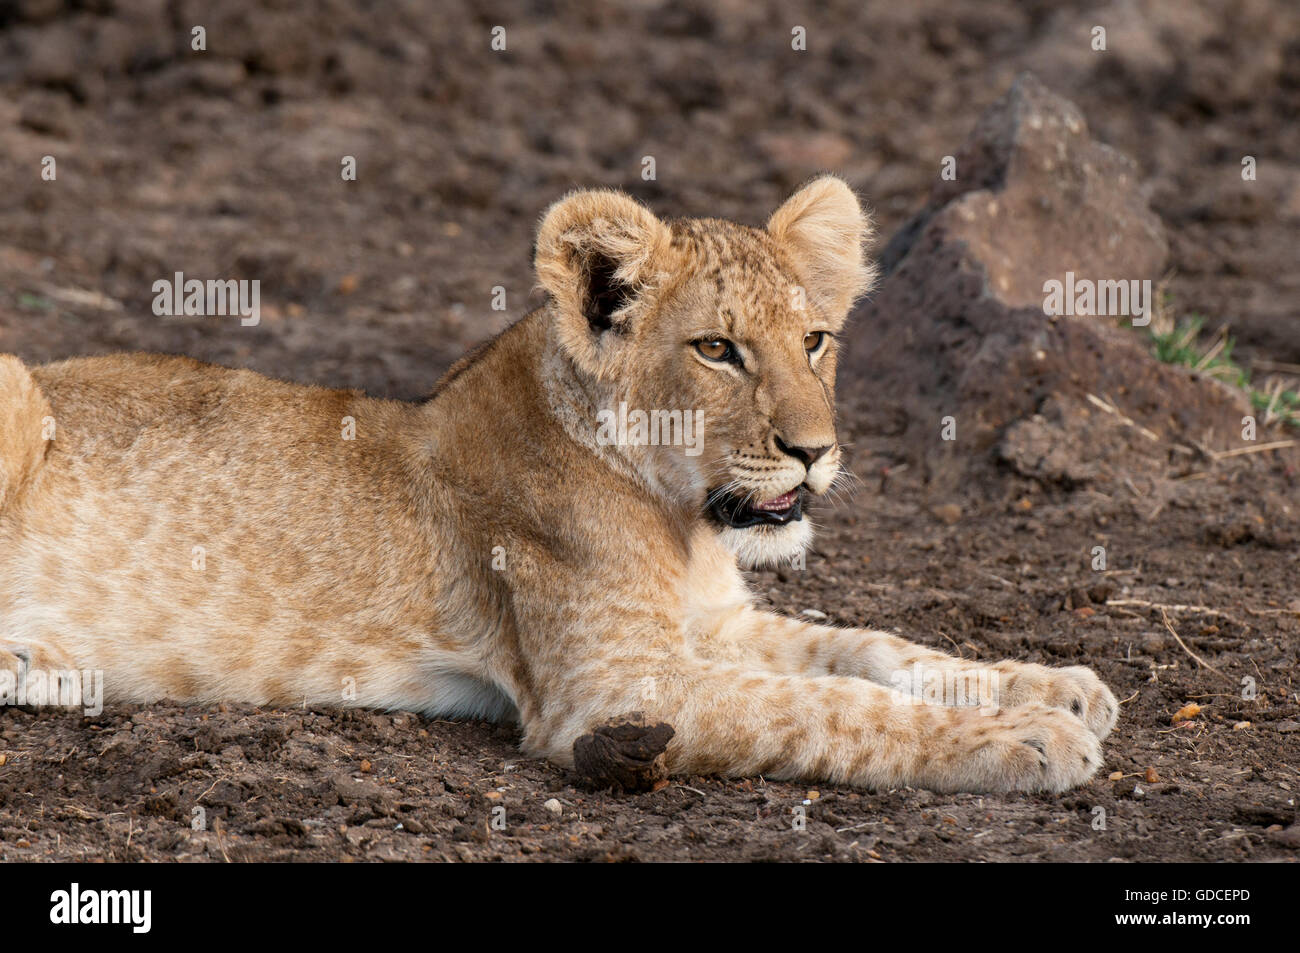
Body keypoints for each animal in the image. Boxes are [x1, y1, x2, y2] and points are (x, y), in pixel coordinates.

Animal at [0, 177, 1116, 793]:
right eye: (717, 349)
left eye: (814, 340)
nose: (814, 452)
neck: (685, 521)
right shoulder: (611, 695)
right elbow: (834, 706)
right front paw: (1027, 736)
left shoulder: (711, 625)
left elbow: (868, 647)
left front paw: (1050, 683)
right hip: (16, 384)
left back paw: (44, 664)